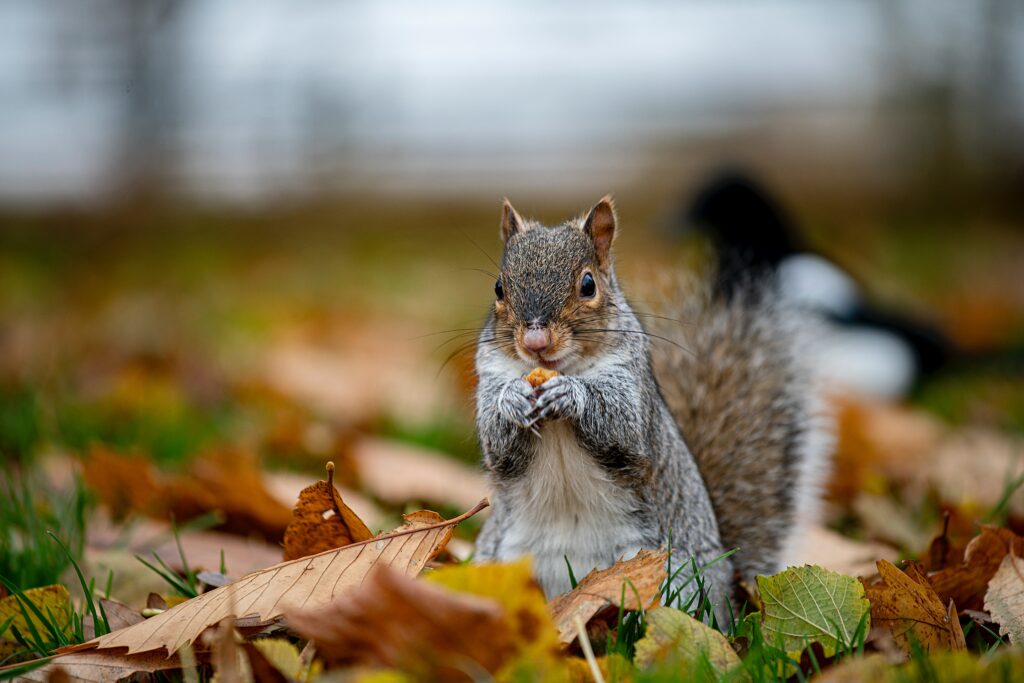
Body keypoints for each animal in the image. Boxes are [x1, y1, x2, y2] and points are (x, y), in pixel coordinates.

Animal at [472, 196, 830, 615]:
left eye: (588, 285)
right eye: (499, 287)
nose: (535, 340)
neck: (558, 368)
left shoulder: (632, 388)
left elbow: (621, 424)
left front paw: (571, 395)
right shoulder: (490, 375)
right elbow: (496, 440)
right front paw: (511, 400)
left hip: (674, 576)